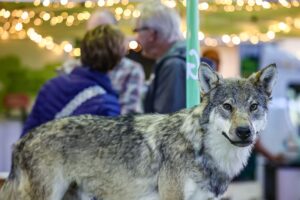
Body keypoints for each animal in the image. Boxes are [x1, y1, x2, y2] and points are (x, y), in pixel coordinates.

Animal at [0, 63, 276, 200]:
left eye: (253, 107)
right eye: (227, 106)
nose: (244, 131)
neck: (201, 150)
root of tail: (22, 140)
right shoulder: (172, 198)